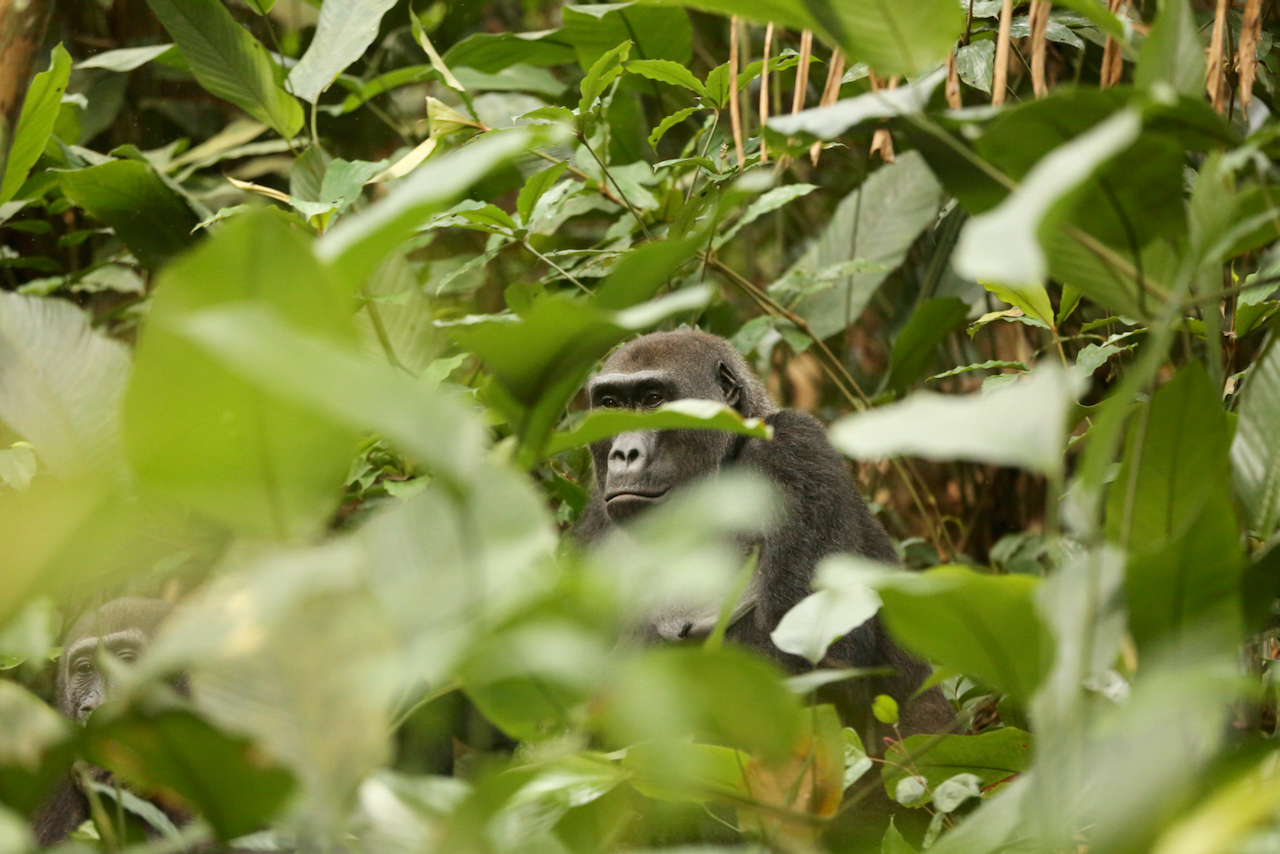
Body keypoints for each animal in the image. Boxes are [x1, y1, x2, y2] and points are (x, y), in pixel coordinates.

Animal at [574, 330, 954, 742]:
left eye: (653, 400)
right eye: (610, 405)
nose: (623, 454)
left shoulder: (796, 449)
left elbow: (815, 668)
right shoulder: (597, 511)